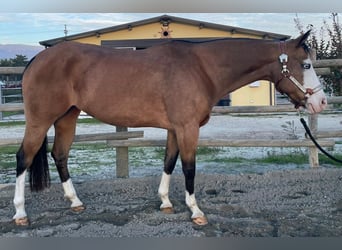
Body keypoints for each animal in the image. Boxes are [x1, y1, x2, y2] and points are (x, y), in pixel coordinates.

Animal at [12, 30, 326, 226]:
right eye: (306, 64)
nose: (320, 102)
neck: (201, 68)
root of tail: (38, 58)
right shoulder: (187, 128)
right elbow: (189, 167)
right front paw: (196, 211)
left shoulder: (175, 128)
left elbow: (169, 162)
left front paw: (165, 202)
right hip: (40, 120)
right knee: (23, 158)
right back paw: (20, 214)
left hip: (68, 117)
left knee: (60, 154)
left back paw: (75, 202)